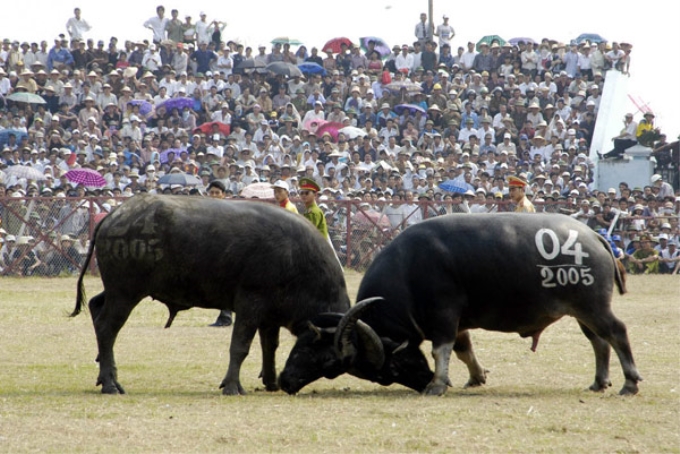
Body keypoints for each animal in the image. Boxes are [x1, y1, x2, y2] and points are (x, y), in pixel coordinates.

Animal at [72, 193, 350, 396]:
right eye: (327, 359)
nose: (288, 384)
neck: (295, 259)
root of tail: (114, 215)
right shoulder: (250, 303)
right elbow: (240, 347)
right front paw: (232, 386)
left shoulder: (270, 314)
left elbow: (269, 346)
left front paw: (270, 382)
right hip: (125, 292)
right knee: (107, 327)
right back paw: (111, 384)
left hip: (116, 291)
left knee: (96, 307)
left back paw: (104, 376)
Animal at [282, 213, 644, 394]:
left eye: (389, 371)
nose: (286, 380)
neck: (407, 269)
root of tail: (595, 237)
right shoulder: (457, 322)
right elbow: (462, 348)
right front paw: (475, 377)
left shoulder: (444, 314)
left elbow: (440, 349)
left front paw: (438, 385)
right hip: (582, 311)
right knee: (599, 341)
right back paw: (599, 382)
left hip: (593, 306)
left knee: (617, 333)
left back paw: (629, 382)